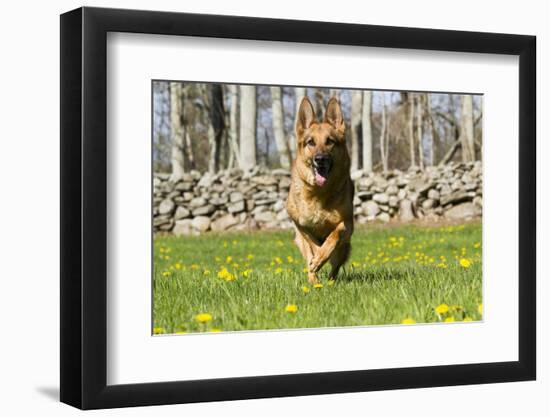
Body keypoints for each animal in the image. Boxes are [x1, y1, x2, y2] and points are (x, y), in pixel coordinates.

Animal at [286, 96, 356, 282]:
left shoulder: (347, 223)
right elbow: (312, 243)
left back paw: (329, 280)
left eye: (330, 141)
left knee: (335, 266)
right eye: (311, 142)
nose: (320, 159)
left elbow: (334, 235)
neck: (318, 194)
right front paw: (317, 258)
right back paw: (314, 281)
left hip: (344, 248)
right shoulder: (299, 224)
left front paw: (321, 256)